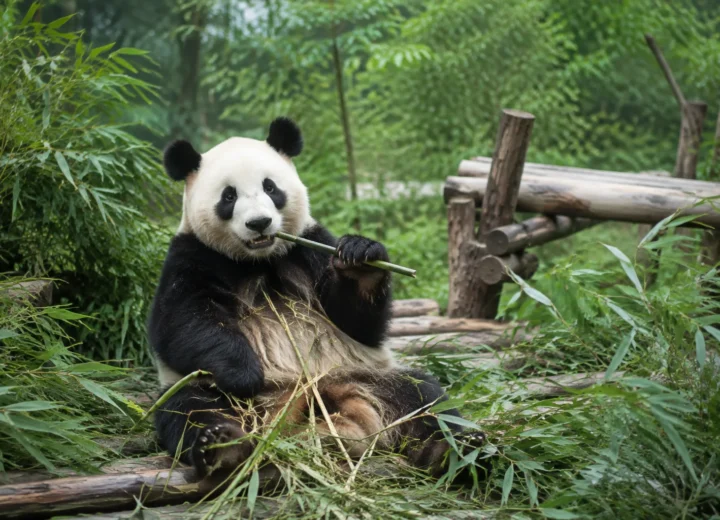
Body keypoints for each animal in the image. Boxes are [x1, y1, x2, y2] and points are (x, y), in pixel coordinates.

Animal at [149, 117, 487, 479]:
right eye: (229, 196)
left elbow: (358, 322)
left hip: (366, 375)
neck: (259, 259)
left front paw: (361, 260)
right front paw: (243, 373)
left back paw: (453, 450)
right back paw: (223, 445)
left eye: (271, 188)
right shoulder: (192, 255)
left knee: (426, 398)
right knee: (191, 408)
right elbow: (182, 323)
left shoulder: (310, 246)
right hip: (211, 392)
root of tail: (309, 400)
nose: (259, 223)